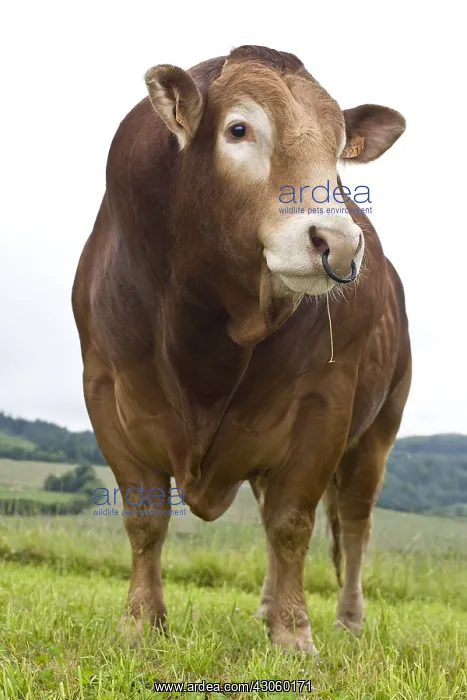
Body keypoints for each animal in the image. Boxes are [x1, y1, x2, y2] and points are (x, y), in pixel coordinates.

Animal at [72, 45, 411, 654]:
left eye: (338, 150)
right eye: (238, 129)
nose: (340, 242)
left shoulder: (325, 407)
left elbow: (291, 523)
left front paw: (294, 633)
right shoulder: (105, 390)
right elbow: (144, 518)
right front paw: (139, 622)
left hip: (377, 431)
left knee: (354, 525)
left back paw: (347, 620)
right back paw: (267, 606)